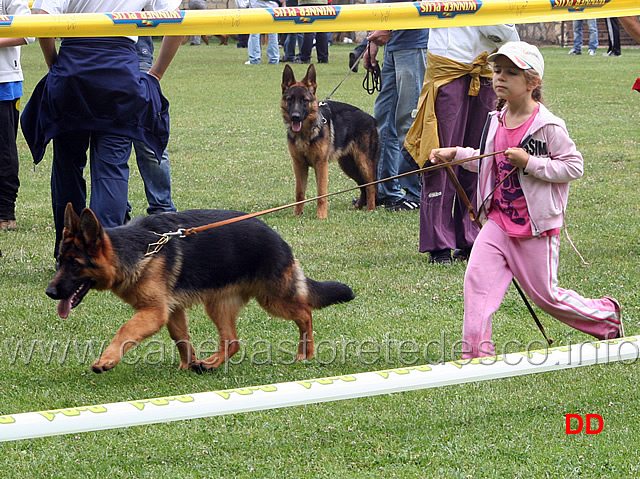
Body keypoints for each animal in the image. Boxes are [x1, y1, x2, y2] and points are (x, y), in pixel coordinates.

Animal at [45, 204, 356, 374]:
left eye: (74, 265)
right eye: (59, 261)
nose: (50, 292)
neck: (139, 250)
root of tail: (279, 239)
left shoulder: (154, 311)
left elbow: (125, 330)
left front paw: (107, 360)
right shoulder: (172, 310)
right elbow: (181, 338)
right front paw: (187, 365)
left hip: (273, 299)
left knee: (305, 313)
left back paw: (306, 353)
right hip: (219, 304)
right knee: (232, 341)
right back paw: (209, 364)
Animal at [282, 63, 380, 219]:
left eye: (304, 100)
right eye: (290, 99)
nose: (295, 117)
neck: (306, 133)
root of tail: (371, 119)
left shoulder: (321, 164)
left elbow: (321, 194)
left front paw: (321, 216)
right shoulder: (299, 165)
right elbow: (299, 192)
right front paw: (297, 214)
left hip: (364, 163)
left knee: (371, 186)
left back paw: (370, 209)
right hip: (349, 165)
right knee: (363, 186)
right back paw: (358, 207)